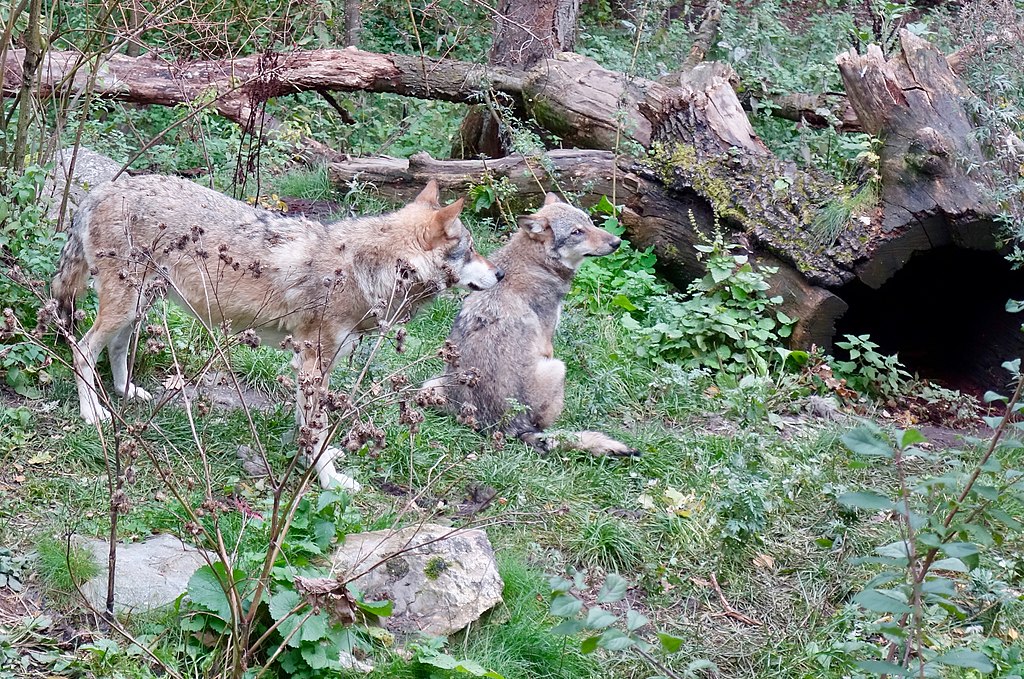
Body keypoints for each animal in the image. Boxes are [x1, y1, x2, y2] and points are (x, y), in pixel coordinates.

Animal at [52, 175, 503, 483]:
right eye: (472, 249)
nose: (501, 273)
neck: (373, 268)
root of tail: (99, 190)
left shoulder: (313, 363)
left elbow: (308, 426)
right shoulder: (313, 361)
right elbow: (316, 429)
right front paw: (329, 481)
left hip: (138, 307)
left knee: (116, 348)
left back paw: (125, 392)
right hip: (124, 307)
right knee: (81, 347)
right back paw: (92, 413)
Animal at [421, 192, 630, 456]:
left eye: (590, 223)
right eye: (576, 232)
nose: (617, 242)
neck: (536, 262)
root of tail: (507, 428)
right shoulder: (548, 345)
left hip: (431, 385)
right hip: (559, 368)